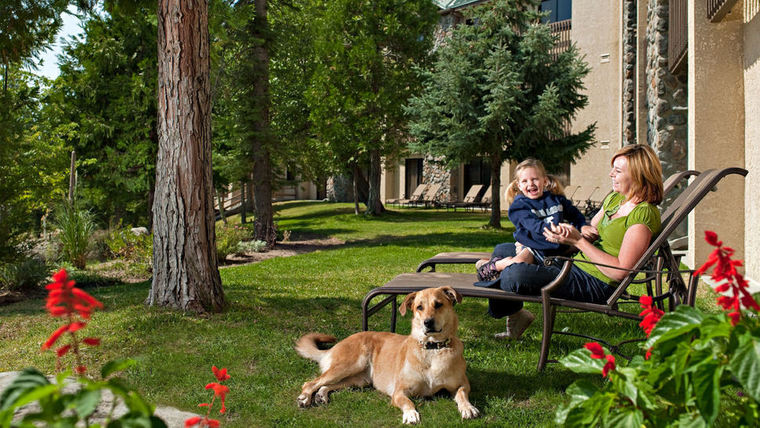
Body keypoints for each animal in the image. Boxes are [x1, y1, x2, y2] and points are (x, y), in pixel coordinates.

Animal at [294, 286, 478, 422]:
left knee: (326, 385)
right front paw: (411, 414)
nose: (428, 322)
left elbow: (462, 394)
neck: (433, 349)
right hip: (349, 365)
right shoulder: (399, 391)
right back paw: (305, 398)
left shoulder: (461, 384)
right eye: (419, 307)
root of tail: (337, 345)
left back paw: (321, 395)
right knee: (310, 383)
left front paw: (468, 407)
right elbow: (407, 402)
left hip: (359, 379)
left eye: (438, 304)